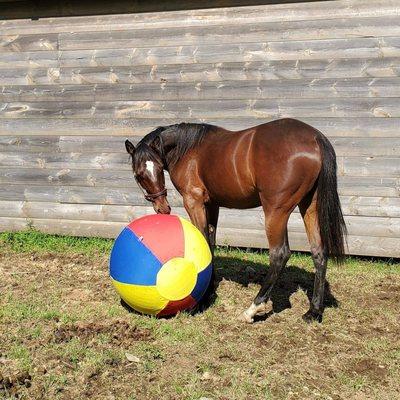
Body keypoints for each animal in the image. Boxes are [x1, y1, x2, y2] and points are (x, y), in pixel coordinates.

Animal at [125, 118, 346, 322]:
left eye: (157, 168)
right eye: (138, 174)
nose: (163, 208)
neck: (189, 149)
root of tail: (315, 138)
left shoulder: (194, 201)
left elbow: (203, 239)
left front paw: (201, 299)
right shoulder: (212, 204)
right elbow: (211, 243)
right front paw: (210, 288)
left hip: (276, 211)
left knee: (279, 254)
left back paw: (253, 308)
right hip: (310, 206)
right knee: (319, 252)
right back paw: (314, 311)